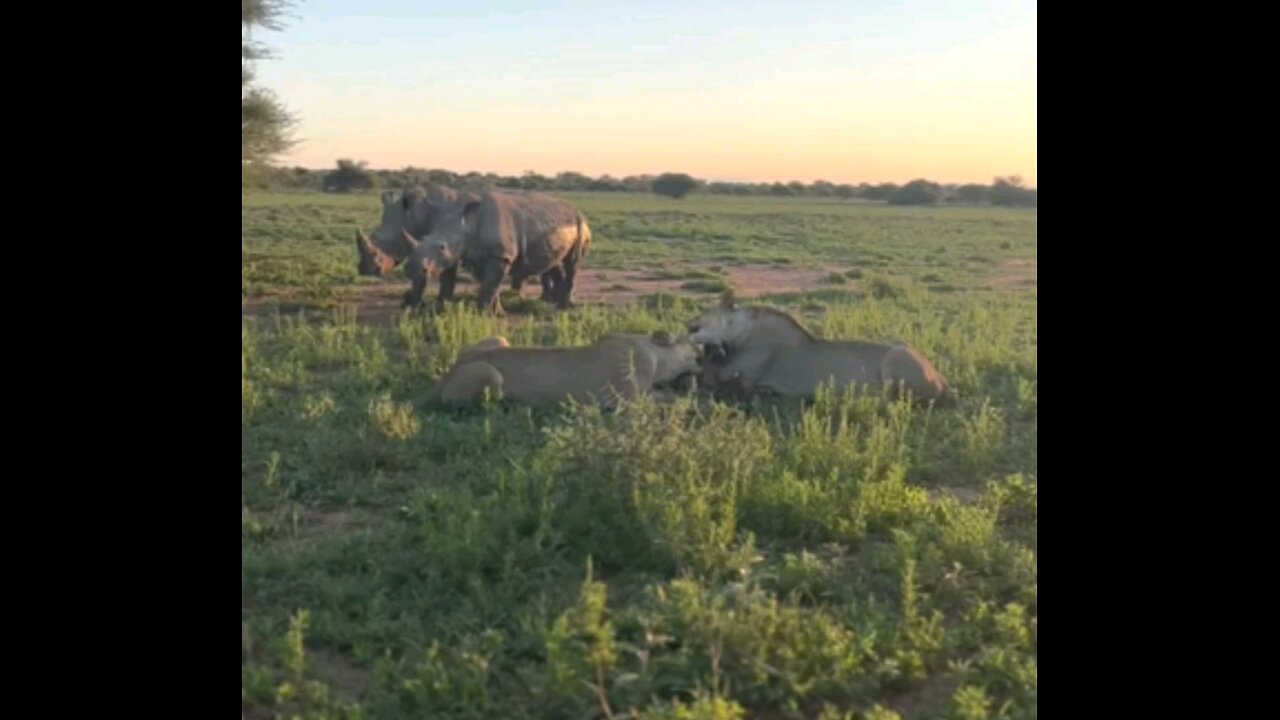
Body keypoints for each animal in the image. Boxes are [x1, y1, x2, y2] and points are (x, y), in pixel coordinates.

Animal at [401, 189, 591, 312]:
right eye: (423, 239)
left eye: (442, 247)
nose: (412, 270)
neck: (468, 222)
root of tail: (577, 210)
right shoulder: (479, 256)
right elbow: (491, 285)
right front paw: (496, 312)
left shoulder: (500, 256)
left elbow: (490, 284)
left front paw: (482, 314)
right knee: (555, 263)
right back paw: (553, 304)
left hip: (581, 224)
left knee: (572, 263)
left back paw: (563, 307)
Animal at [430, 330, 701, 407]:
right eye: (692, 345)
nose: (704, 354)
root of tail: (445, 376)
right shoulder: (629, 400)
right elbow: (672, 398)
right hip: (490, 374)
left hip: (498, 338)